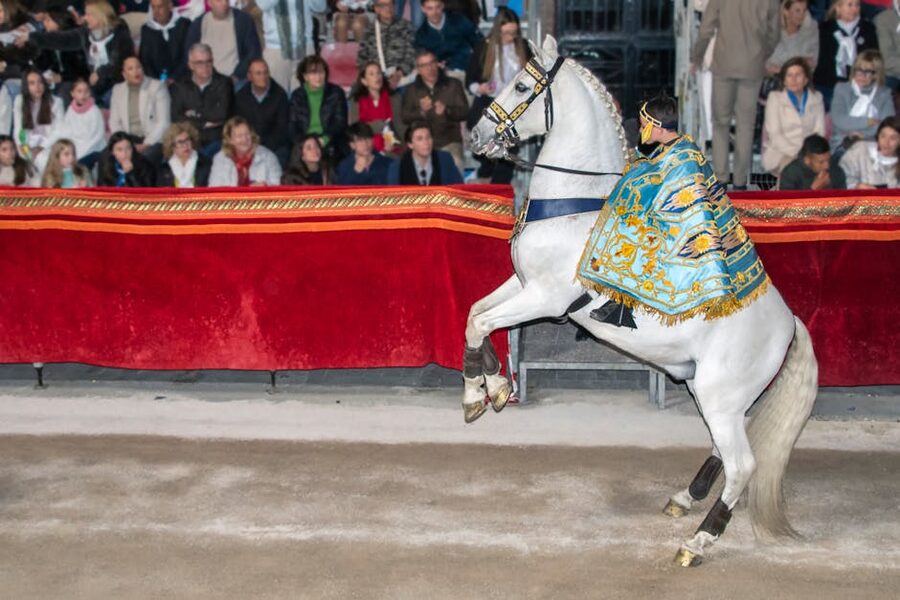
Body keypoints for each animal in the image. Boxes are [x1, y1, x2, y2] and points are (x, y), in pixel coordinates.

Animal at [463, 36, 818, 567]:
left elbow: (483, 323)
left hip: (719, 396)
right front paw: (492, 388)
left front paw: (480, 394)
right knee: (723, 452)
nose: (477, 134)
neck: (572, 204)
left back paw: (698, 540)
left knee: (742, 465)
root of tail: (789, 322)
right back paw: (684, 498)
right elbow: (476, 315)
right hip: (716, 394)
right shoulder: (522, 283)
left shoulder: (546, 297)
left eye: (522, 85)